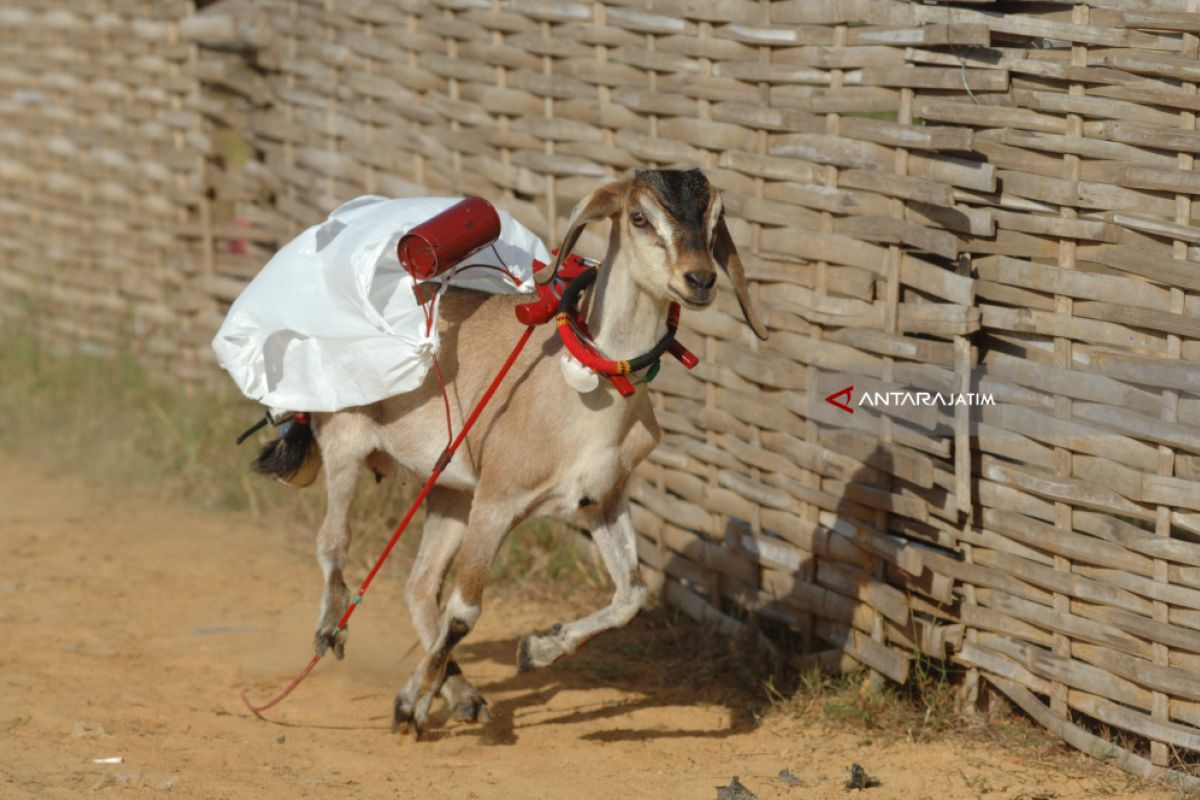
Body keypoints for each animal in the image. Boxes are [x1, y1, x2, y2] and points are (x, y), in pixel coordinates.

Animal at [255, 169, 768, 738]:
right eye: (639, 216)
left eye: (717, 217)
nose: (699, 279)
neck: (586, 386)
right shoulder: (499, 500)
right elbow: (465, 611)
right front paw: (410, 701)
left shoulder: (601, 498)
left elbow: (632, 595)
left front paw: (535, 649)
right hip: (347, 438)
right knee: (333, 542)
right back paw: (332, 630)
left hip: (452, 491)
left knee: (419, 586)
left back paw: (460, 693)